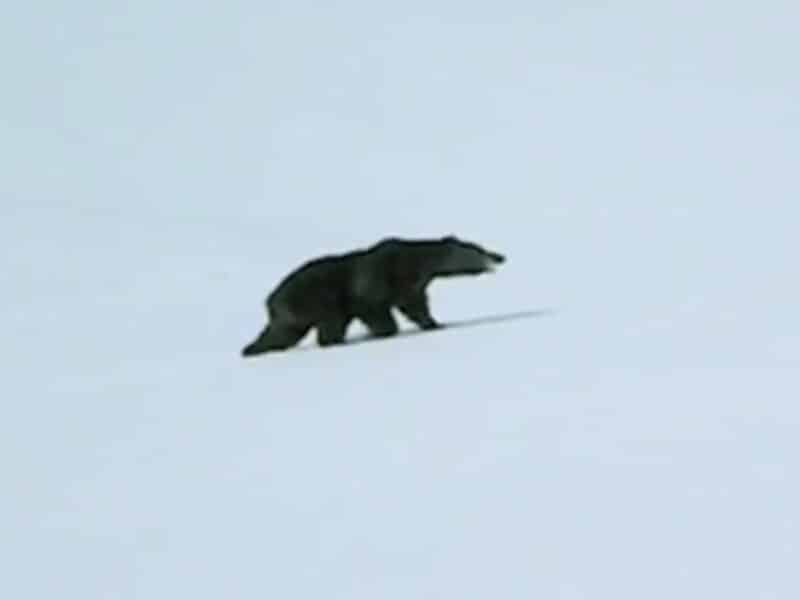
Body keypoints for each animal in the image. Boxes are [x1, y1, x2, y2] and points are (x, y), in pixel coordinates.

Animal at [240, 235, 506, 356]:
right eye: (479, 249)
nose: (500, 256)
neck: (415, 263)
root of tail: (271, 301)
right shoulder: (380, 276)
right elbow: (374, 306)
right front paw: (385, 331)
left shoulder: (411, 284)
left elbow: (415, 305)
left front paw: (435, 323)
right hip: (315, 296)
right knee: (330, 321)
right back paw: (334, 341)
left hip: (294, 313)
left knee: (282, 333)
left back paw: (252, 348)